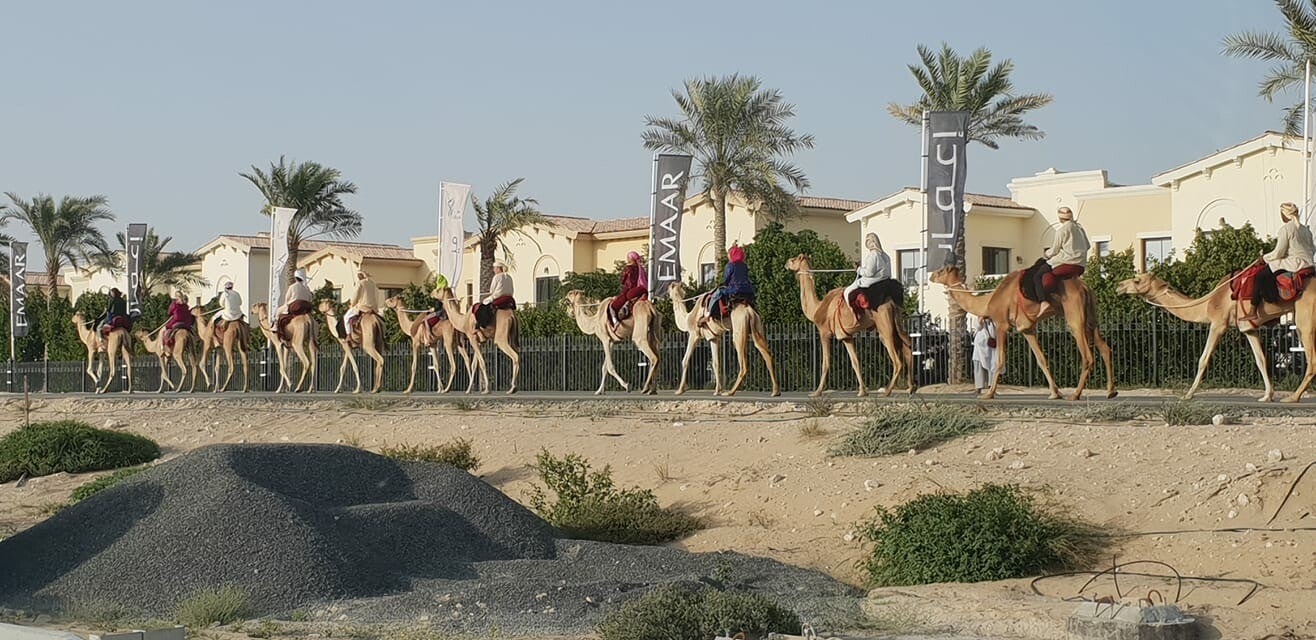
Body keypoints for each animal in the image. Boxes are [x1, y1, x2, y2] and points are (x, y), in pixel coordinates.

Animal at [784, 254, 915, 397]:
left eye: (793, 260)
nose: (786, 263)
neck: (817, 309)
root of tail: (891, 303)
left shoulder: (824, 333)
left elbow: (826, 362)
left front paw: (817, 392)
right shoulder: (846, 337)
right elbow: (855, 361)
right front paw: (862, 391)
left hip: (884, 326)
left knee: (897, 360)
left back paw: (887, 391)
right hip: (896, 322)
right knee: (907, 345)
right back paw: (910, 388)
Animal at [929, 265, 1116, 401]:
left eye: (941, 270)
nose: (930, 276)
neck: (988, 301)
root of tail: (1084, 287)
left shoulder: (1002, 324)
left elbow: (999, 360)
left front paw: (989, 394)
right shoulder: (1027, 329)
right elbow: (1041, 360)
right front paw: (1055, 393)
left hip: (1074, 315)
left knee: (1087, 355)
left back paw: (1076, 395)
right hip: (1091, 316)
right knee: (1105, 348)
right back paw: (1110, 392)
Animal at [1117, 271, 1316, 403]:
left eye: (1137, 280)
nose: (1119, 286)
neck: (1208, 303)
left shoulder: (1218, 324)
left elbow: (1203, 359)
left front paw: (1187, 395)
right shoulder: (1248, 329)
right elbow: (1261, 360)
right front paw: (1267, 395)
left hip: (1305, 319)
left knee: (1311, 359)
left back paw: (1293, 397)